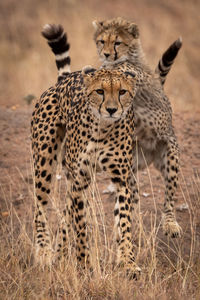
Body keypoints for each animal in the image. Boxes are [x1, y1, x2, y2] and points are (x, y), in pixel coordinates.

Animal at [42, 19, 183, 239]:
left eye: (117, 42)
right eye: (102, 41)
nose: (107, 54)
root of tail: (147, 156)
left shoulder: (132, 75)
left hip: (169, 158)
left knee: (168, 197)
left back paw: (170, 224)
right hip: (129, 168)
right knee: (132, 198)